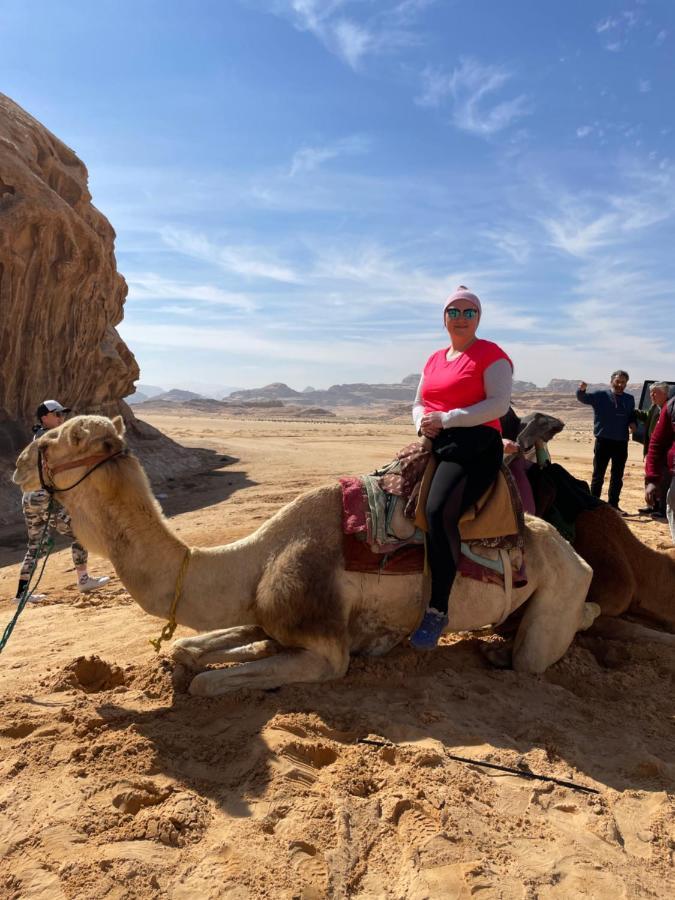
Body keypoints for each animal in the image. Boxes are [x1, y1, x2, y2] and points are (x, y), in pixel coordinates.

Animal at [11, 414, 604, 696]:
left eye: (55, 441)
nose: (17, 464)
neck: (253, 557)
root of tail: (573, 553)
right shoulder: (263, 610)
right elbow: (189, 650)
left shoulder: (323, 647)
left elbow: (207, 680)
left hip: (559, 591)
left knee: (538, 652)